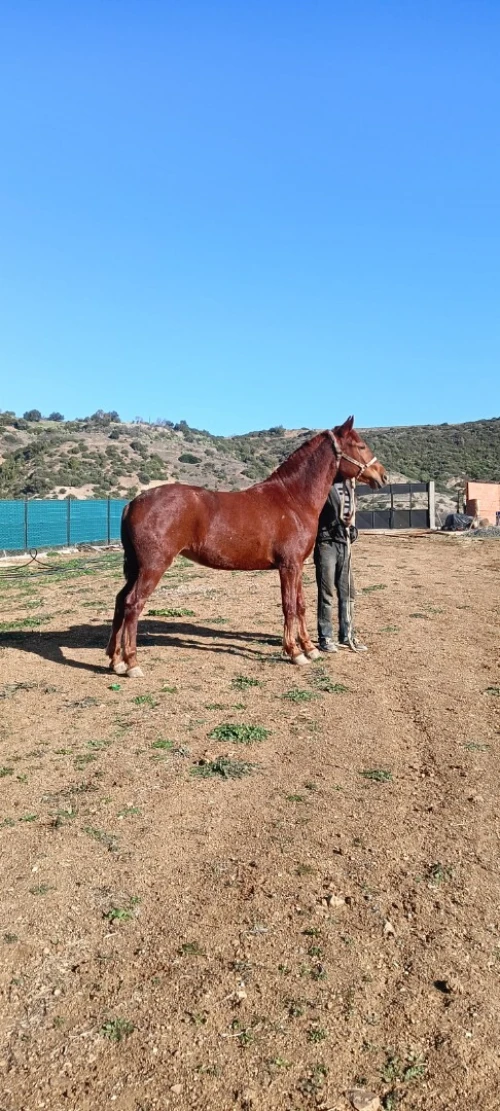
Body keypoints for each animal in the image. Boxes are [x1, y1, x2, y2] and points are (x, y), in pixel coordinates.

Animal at [106, 417, 387, 677]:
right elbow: (289, 606)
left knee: (121, 601)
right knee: (133, 604)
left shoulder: (298, 566)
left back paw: (115, 660)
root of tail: (133, 503)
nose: (382, 475)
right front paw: (295, 652)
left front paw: (309, 649)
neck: (293, 499)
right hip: (153, 566)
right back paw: (132, 663)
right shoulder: (288, 567)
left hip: (137, 568)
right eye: (360, 446)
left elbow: (301, 605)